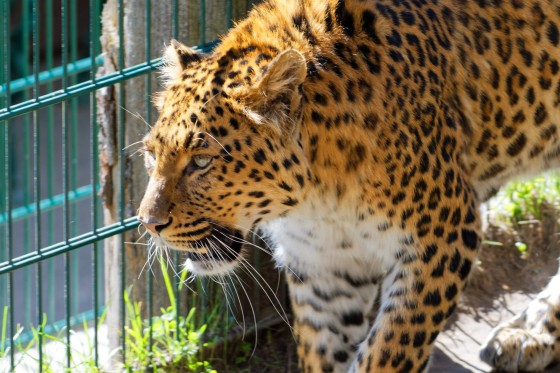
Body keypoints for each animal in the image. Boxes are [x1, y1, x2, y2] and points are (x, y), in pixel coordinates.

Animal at [137, 0, 560, 370]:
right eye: (151, 155)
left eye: (202, 161)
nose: (148, 224)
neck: (321, 198)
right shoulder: (323, 266)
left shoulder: (445, 237)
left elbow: (389, 351)